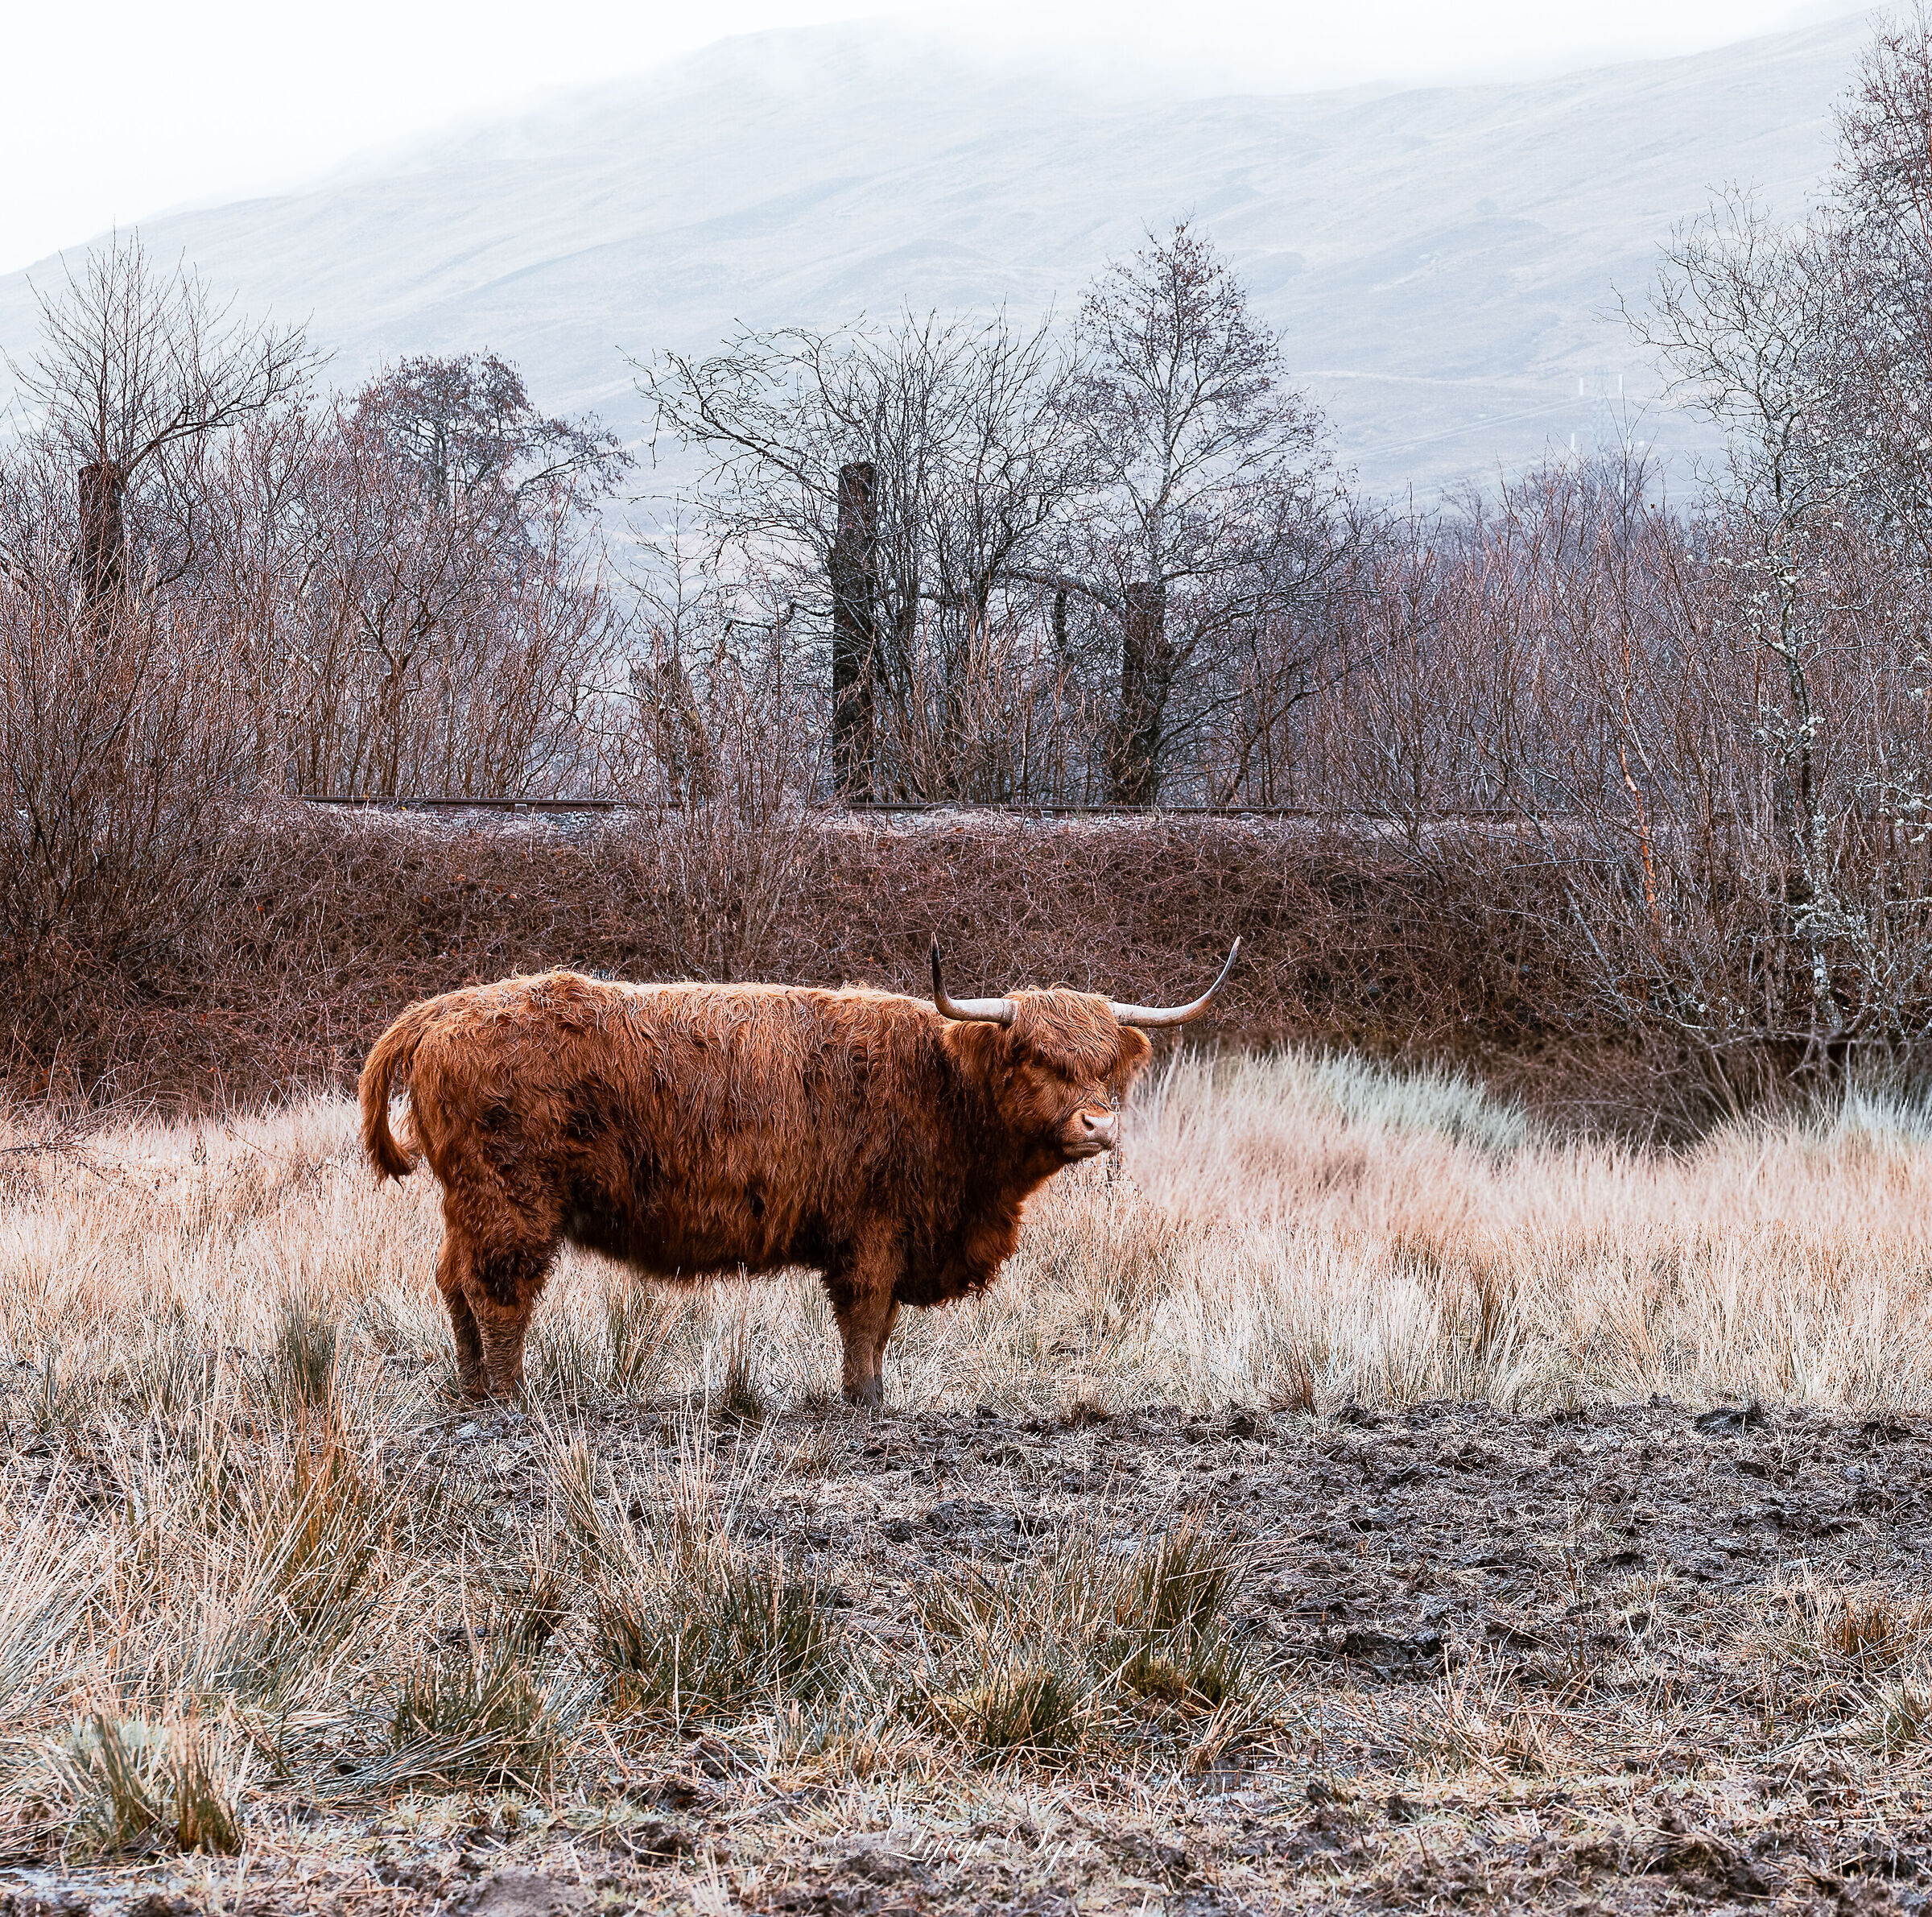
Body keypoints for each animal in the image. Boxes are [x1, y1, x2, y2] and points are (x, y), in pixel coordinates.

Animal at [356, 939, 1239, 1406]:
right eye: (1037, 1057)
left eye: (1103, 1063)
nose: (1099, 1123)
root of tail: (443, 1008)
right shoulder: (873, 1231)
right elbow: (866, 1317)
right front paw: (865, 1400)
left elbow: (882, 1324)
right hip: (513, 1197)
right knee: (498, 1288)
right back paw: (510, 1394)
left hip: (470, 1199)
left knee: (452, 1280)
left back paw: (472, 1386)